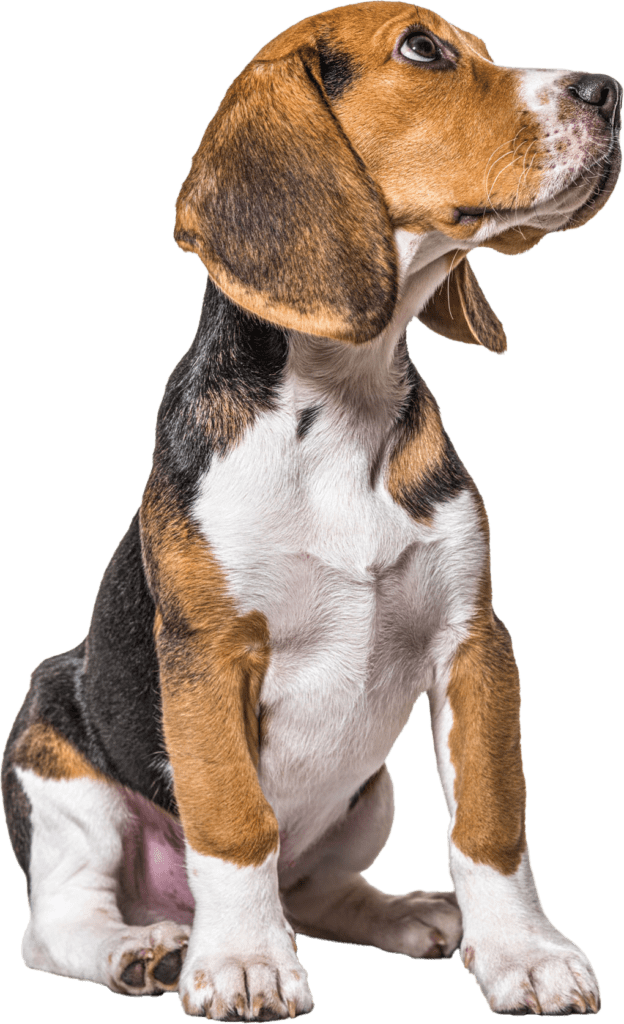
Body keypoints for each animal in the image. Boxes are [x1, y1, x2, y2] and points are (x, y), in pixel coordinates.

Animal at [2, 2, 618, 1015]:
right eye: (423, 48)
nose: (607, 89)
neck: (342, 395)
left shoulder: (474, 640)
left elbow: (491, 821)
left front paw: (523, 953)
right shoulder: (210, 654)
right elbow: (232, 822)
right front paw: (244, 962)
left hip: (371, 792)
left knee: (318, 890)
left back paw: (409, 915)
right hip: (62, 772)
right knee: (58, 922)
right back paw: (147, 950)